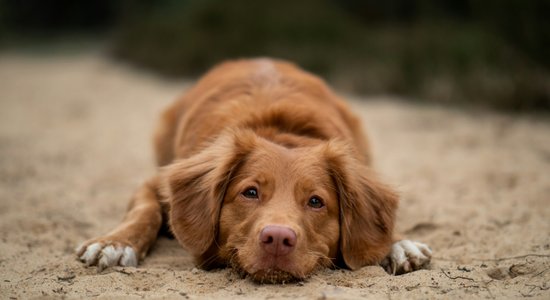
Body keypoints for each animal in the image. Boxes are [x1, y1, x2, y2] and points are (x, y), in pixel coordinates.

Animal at [75, 58, 434, 282]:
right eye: (250, 192)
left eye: (316, 202)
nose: (277, 238)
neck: (280, 132)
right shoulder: (157, 182)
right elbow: (144, 211)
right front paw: (115, 242)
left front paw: (398, 243)